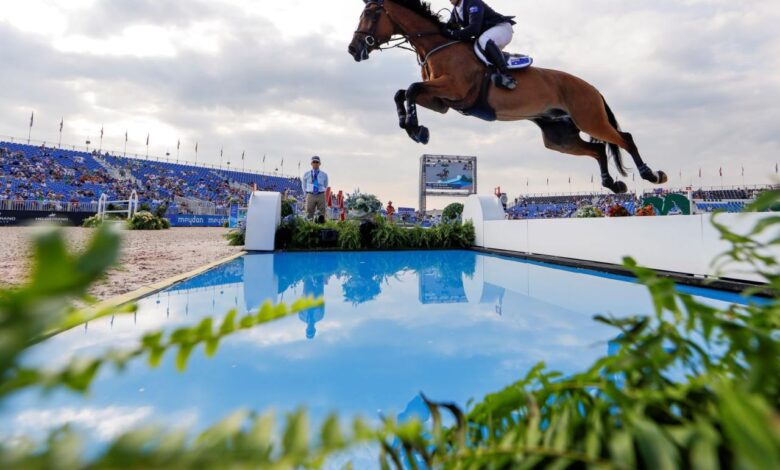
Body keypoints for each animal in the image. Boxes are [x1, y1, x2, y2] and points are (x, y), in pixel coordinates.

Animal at [348, 0, 672, 195]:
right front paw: (414, 128)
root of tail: (592, 87)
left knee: (624, 138)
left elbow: (412, 89)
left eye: (372, 14)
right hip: (559, 137)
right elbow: (403, 92)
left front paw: (417, 130)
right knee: (598, 150)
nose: (353, 50)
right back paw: (613, 185)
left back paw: (652, 175)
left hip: (589, 118)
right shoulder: (441, 102)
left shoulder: (453, 90)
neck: (439, 46)